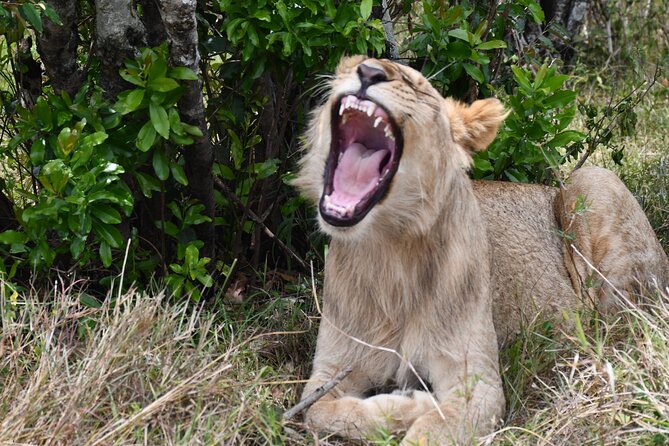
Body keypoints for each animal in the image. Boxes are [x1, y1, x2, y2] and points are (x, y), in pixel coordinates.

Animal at [292, 55, 669, 445]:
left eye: (416, 86)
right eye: (350, 65)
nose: (367, 72)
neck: (390, 250)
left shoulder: (480, 382)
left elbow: (430, 431)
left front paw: (420, 405)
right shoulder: (331, 371)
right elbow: (316, 411)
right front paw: (411, 403)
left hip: (592, 181)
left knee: (622, 326)